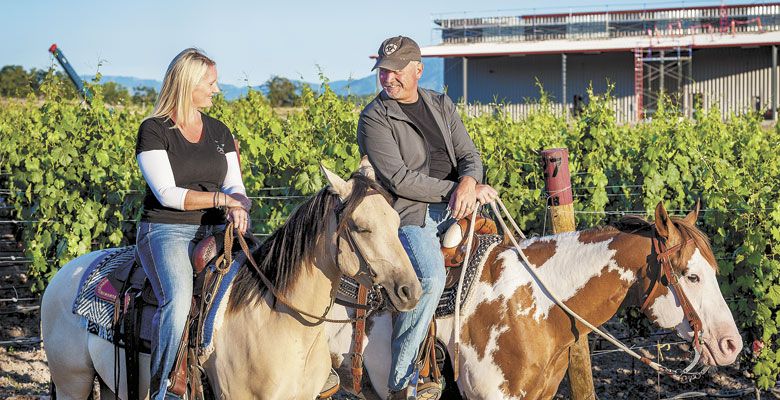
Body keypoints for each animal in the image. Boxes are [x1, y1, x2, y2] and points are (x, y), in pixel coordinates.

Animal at [40, 158, 424, 398]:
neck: (277, 321)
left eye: (396, 220)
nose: (411, 290)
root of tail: (62, 275)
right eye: (361, 227)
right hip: (73, 382)